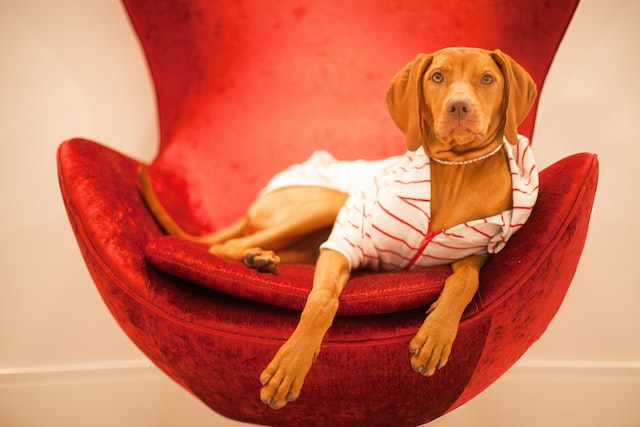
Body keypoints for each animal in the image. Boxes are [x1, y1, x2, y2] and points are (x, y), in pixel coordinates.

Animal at [139, 47, 540, 412]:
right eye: (437, 76)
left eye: (487, 79)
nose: (459, 107)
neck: (457, 172)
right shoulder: (345, 240)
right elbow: (320, 300)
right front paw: (291, 364)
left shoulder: (475, 250)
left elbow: (465, 281)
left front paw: (437, 333)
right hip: (328, 203)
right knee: (227, 247)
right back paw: (256, 257)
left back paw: (263, 260)